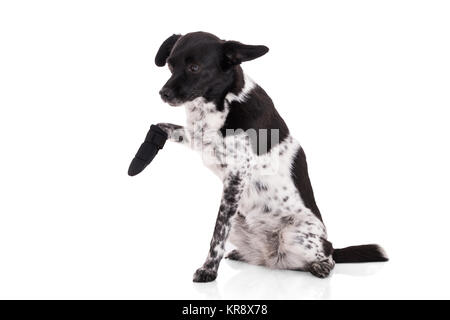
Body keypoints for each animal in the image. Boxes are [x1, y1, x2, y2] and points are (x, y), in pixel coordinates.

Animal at [153, 31, 388, 282]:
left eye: (194, 67)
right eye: (170, 64)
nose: (163, 94)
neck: (224, 101)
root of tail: (273, 257)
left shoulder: (236, 177)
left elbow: (218, 233)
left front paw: (208, 269)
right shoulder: (201, 141)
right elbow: (173, 129)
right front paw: (157, 132)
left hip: (294, 235)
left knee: (328, 255)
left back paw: (320, 265)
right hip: (240, 224)